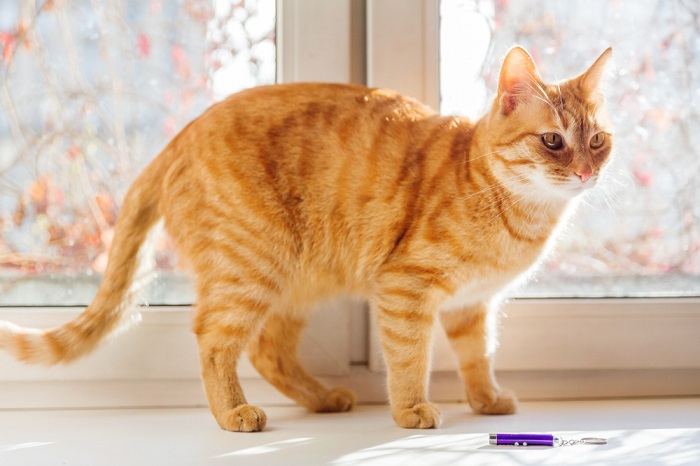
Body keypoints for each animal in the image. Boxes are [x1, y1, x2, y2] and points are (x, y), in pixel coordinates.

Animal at [0, 45, 612, 432]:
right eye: (553, 141)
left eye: (597, 141)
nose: (586, 172)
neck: (517, 212)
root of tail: (180, 137)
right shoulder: (406, 289)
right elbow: (409, 359)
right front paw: (411, 410)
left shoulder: (472, 305)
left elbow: (477, 357)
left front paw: (486, 401)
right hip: (252, 266)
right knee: (214, 340)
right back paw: (233, 414)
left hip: (295, 282)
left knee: (268, 350)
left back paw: (323, 398)